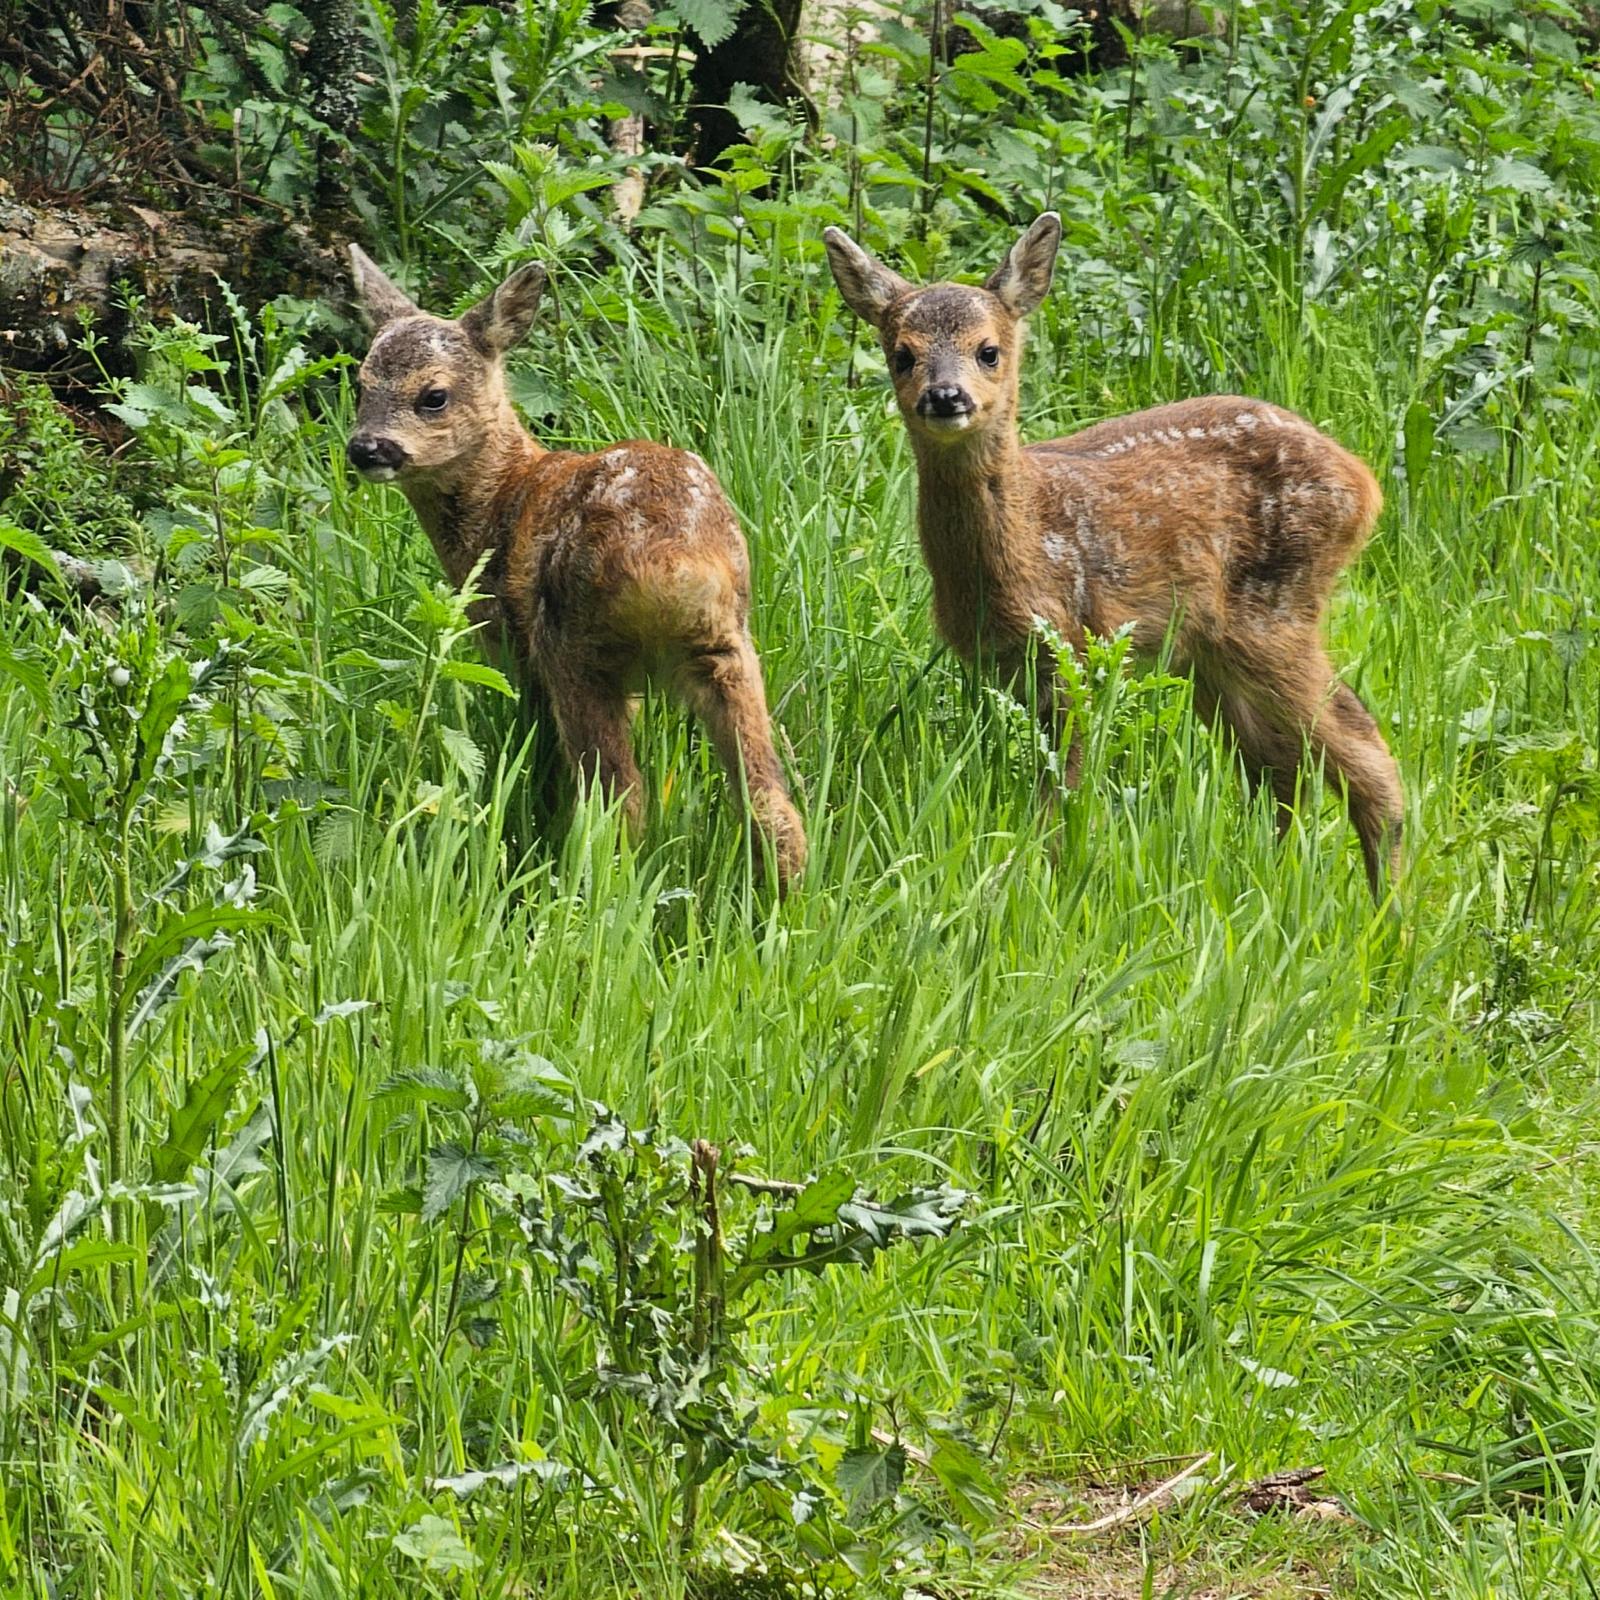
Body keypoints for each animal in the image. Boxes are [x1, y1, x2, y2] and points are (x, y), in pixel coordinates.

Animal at [345, 246, 807, 890]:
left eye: (432, 396)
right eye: (360, 385)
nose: (366, 448)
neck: (501, 498)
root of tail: (677, 563)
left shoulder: (514, 646)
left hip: (575, 645)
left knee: (619, 796)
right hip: (729, 648)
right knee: (769, 800)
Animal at [823, 214, 1404, 898]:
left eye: (988, 350)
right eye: (902, 354)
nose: (944, 396)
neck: (1020, 550)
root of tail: (1365, 486)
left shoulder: (1071, 648)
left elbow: (1063, 790)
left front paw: (1048, 880)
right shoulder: (1001, 667)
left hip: (1277, 609)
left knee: (1359, 744)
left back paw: (1387, 906)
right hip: (1211, 651)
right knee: (1280, 765)